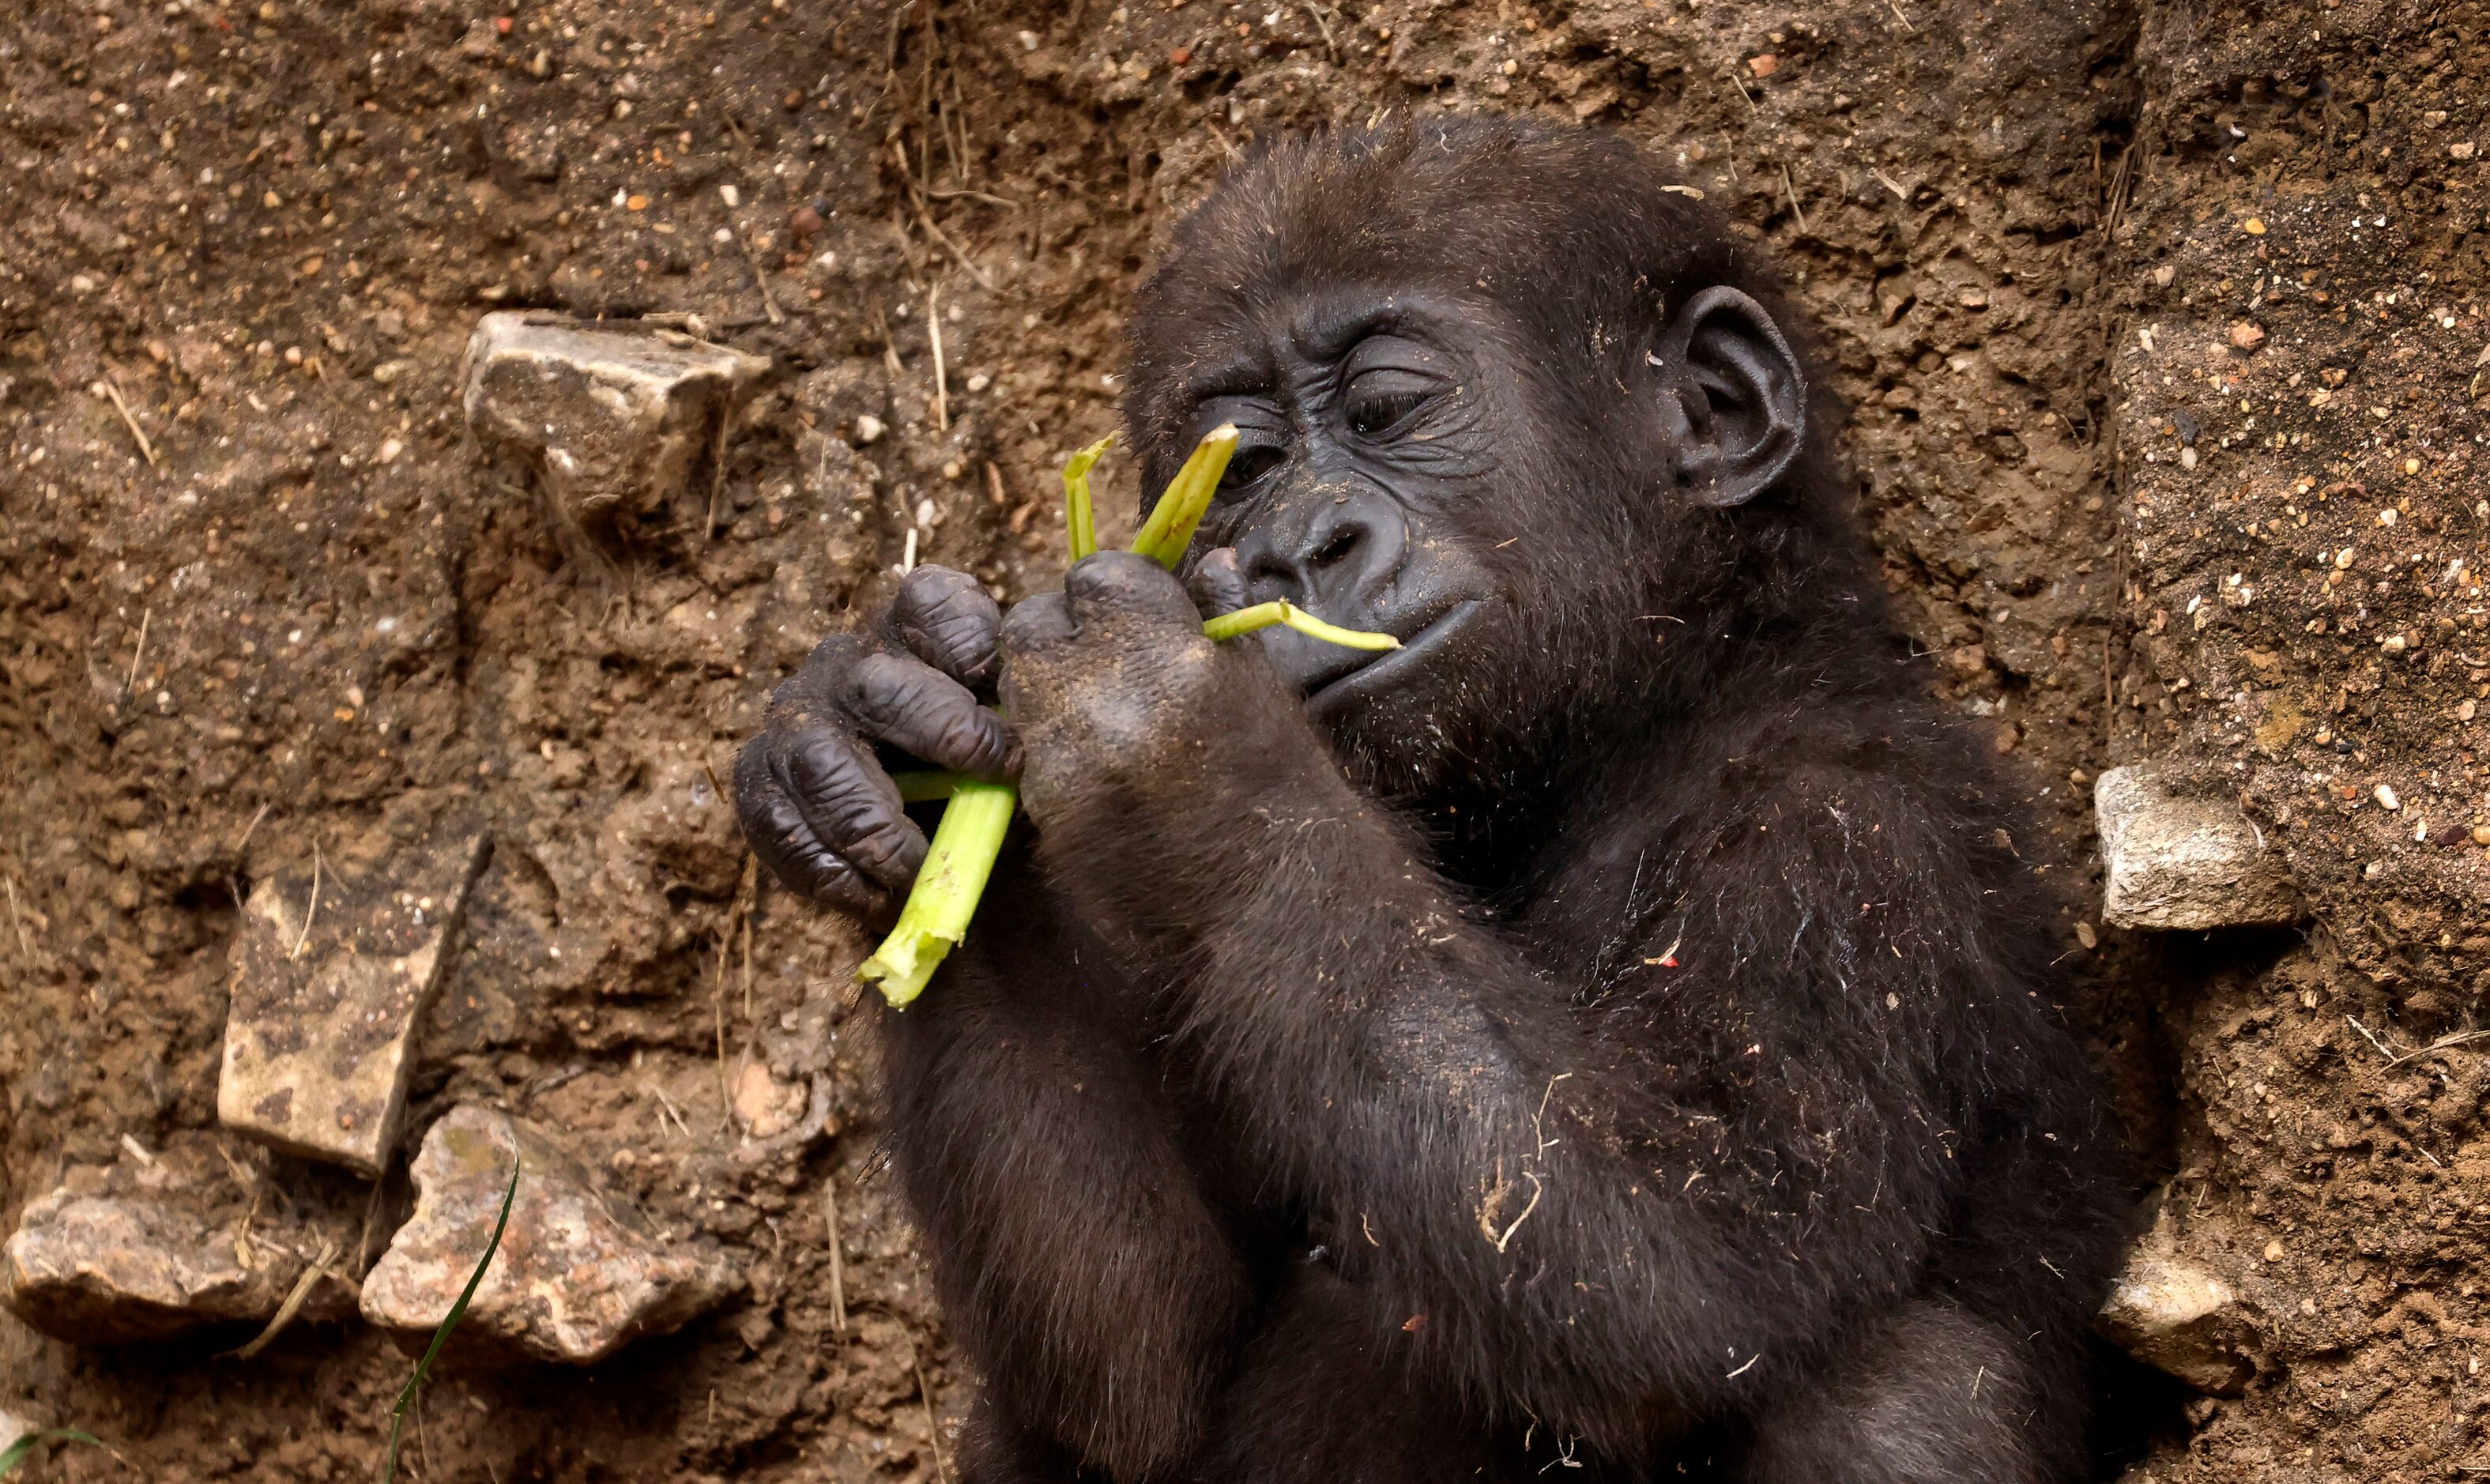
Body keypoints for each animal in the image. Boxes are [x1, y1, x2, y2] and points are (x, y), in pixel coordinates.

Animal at [732, 119, 2121, 1484]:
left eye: (1388, 407)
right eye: (1243, 469)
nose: (1298, 547)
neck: (1656, 712)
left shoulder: (1856, 845)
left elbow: (1686, 1263)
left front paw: (1162, 726)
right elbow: (1133, 1387)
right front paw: (893, 730)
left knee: (1902, 1386)